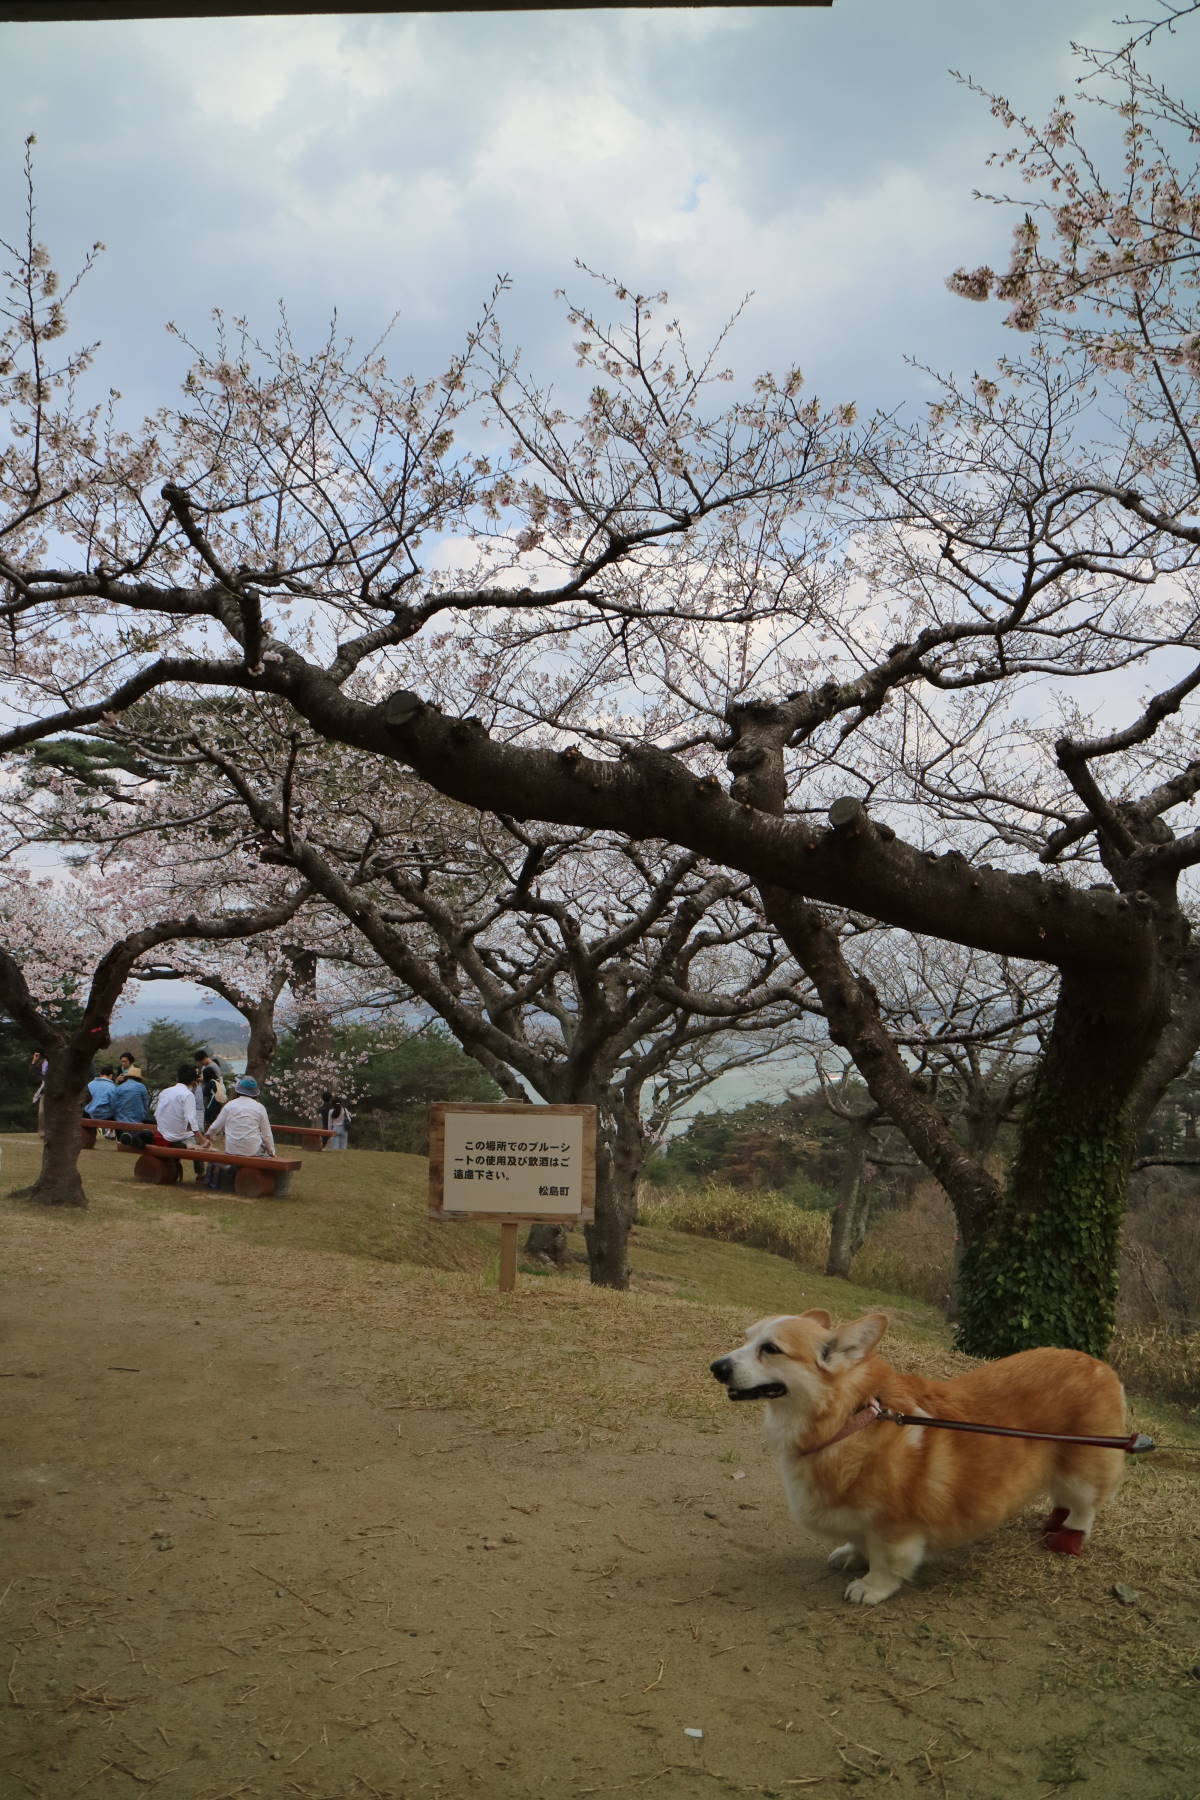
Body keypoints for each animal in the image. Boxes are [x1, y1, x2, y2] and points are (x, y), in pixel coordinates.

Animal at [708, 1310, 1129, 1605]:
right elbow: (858, 1540)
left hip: (1082, 1466)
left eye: (771, 1349)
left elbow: (887, 1559)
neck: (849, 1421)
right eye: (747, 1339)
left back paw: (1067, 1537)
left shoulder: (895, 1524)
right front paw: (850, 1554)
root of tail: (1102, 1366)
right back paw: (1053, 1523)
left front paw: (870, 1587)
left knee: (1085, 1506)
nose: (716, 1367)